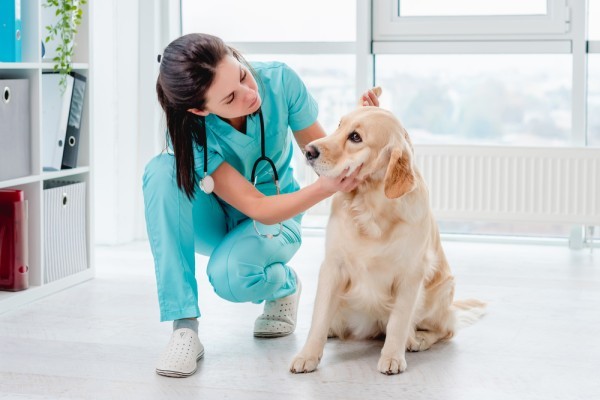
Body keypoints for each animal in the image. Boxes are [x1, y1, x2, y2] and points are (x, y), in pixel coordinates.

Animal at [292, 99, 488, 376]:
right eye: (339, 125)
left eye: (356, 137)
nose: (309, 151)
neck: (371, 207)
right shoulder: (332, 266)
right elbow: (319, 319)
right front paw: (307, 355)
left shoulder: (411, 274)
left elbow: (399, 321)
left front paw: (393, 356)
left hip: (441, 290)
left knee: (446, 329)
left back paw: (417, 339)